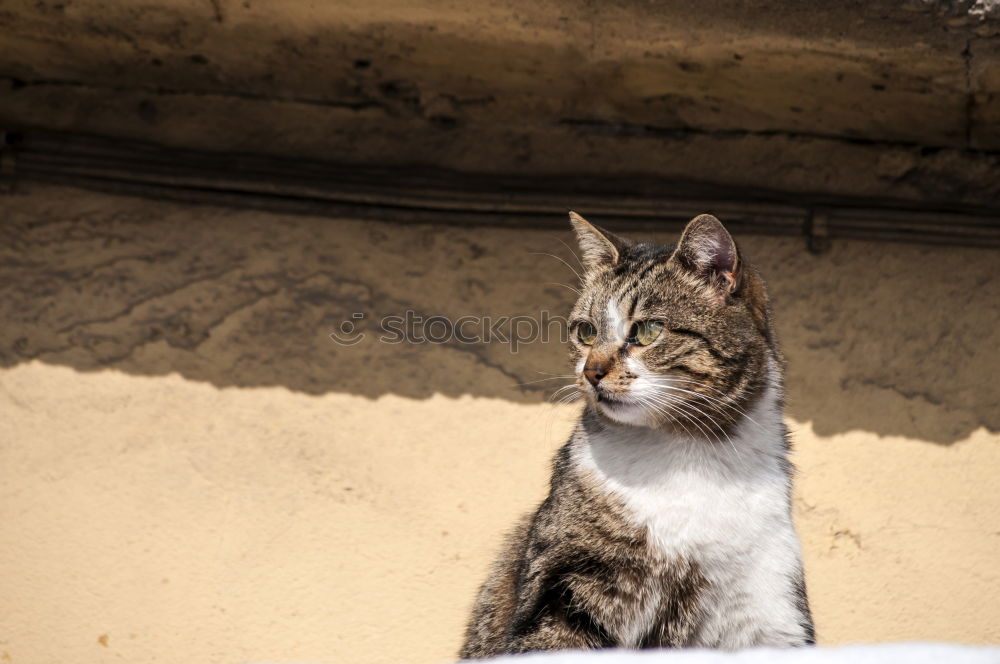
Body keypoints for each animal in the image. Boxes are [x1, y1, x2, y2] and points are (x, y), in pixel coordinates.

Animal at [458, 213, 812, 660]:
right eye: (586, 332)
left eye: (646, 331)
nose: (591, 372)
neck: (688, 452)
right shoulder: (565, 582)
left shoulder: (769, 603)